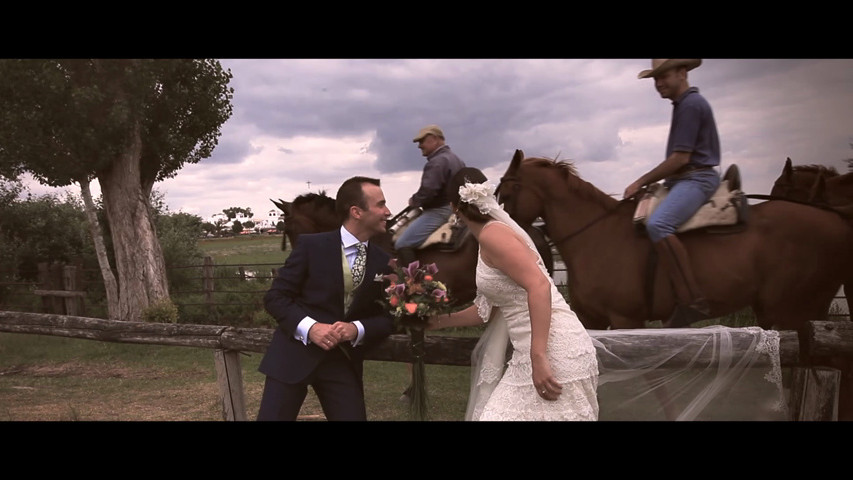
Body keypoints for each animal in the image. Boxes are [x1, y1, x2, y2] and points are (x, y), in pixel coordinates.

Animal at [496, 148, 848, 332]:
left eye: (506, 193)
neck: (597, 236)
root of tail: (836, 220)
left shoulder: (627, 321)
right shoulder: (592, 320)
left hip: (787, 313)